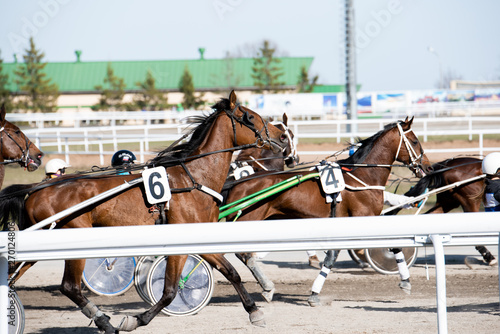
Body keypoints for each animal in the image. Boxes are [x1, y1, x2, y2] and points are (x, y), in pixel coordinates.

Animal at [0, 90, 290, 332]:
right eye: (250, 116)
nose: (281, 136)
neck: (194, 177)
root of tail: (37, 188)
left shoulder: (199, 236)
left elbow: (231, 272)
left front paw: (254, 311)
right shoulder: (180, 240)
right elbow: (170, 291)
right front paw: (134, 320)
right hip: (73, 236)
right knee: (69, 287)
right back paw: (104, 321)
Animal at [221, 117, 432, 302]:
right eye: (415, 141)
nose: (428, 167)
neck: (362, 176)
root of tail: (238, 182)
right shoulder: (363, 217)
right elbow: (389, 245)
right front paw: (405, 281)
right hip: (248, 220)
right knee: (243, 254)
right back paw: (267, 287)